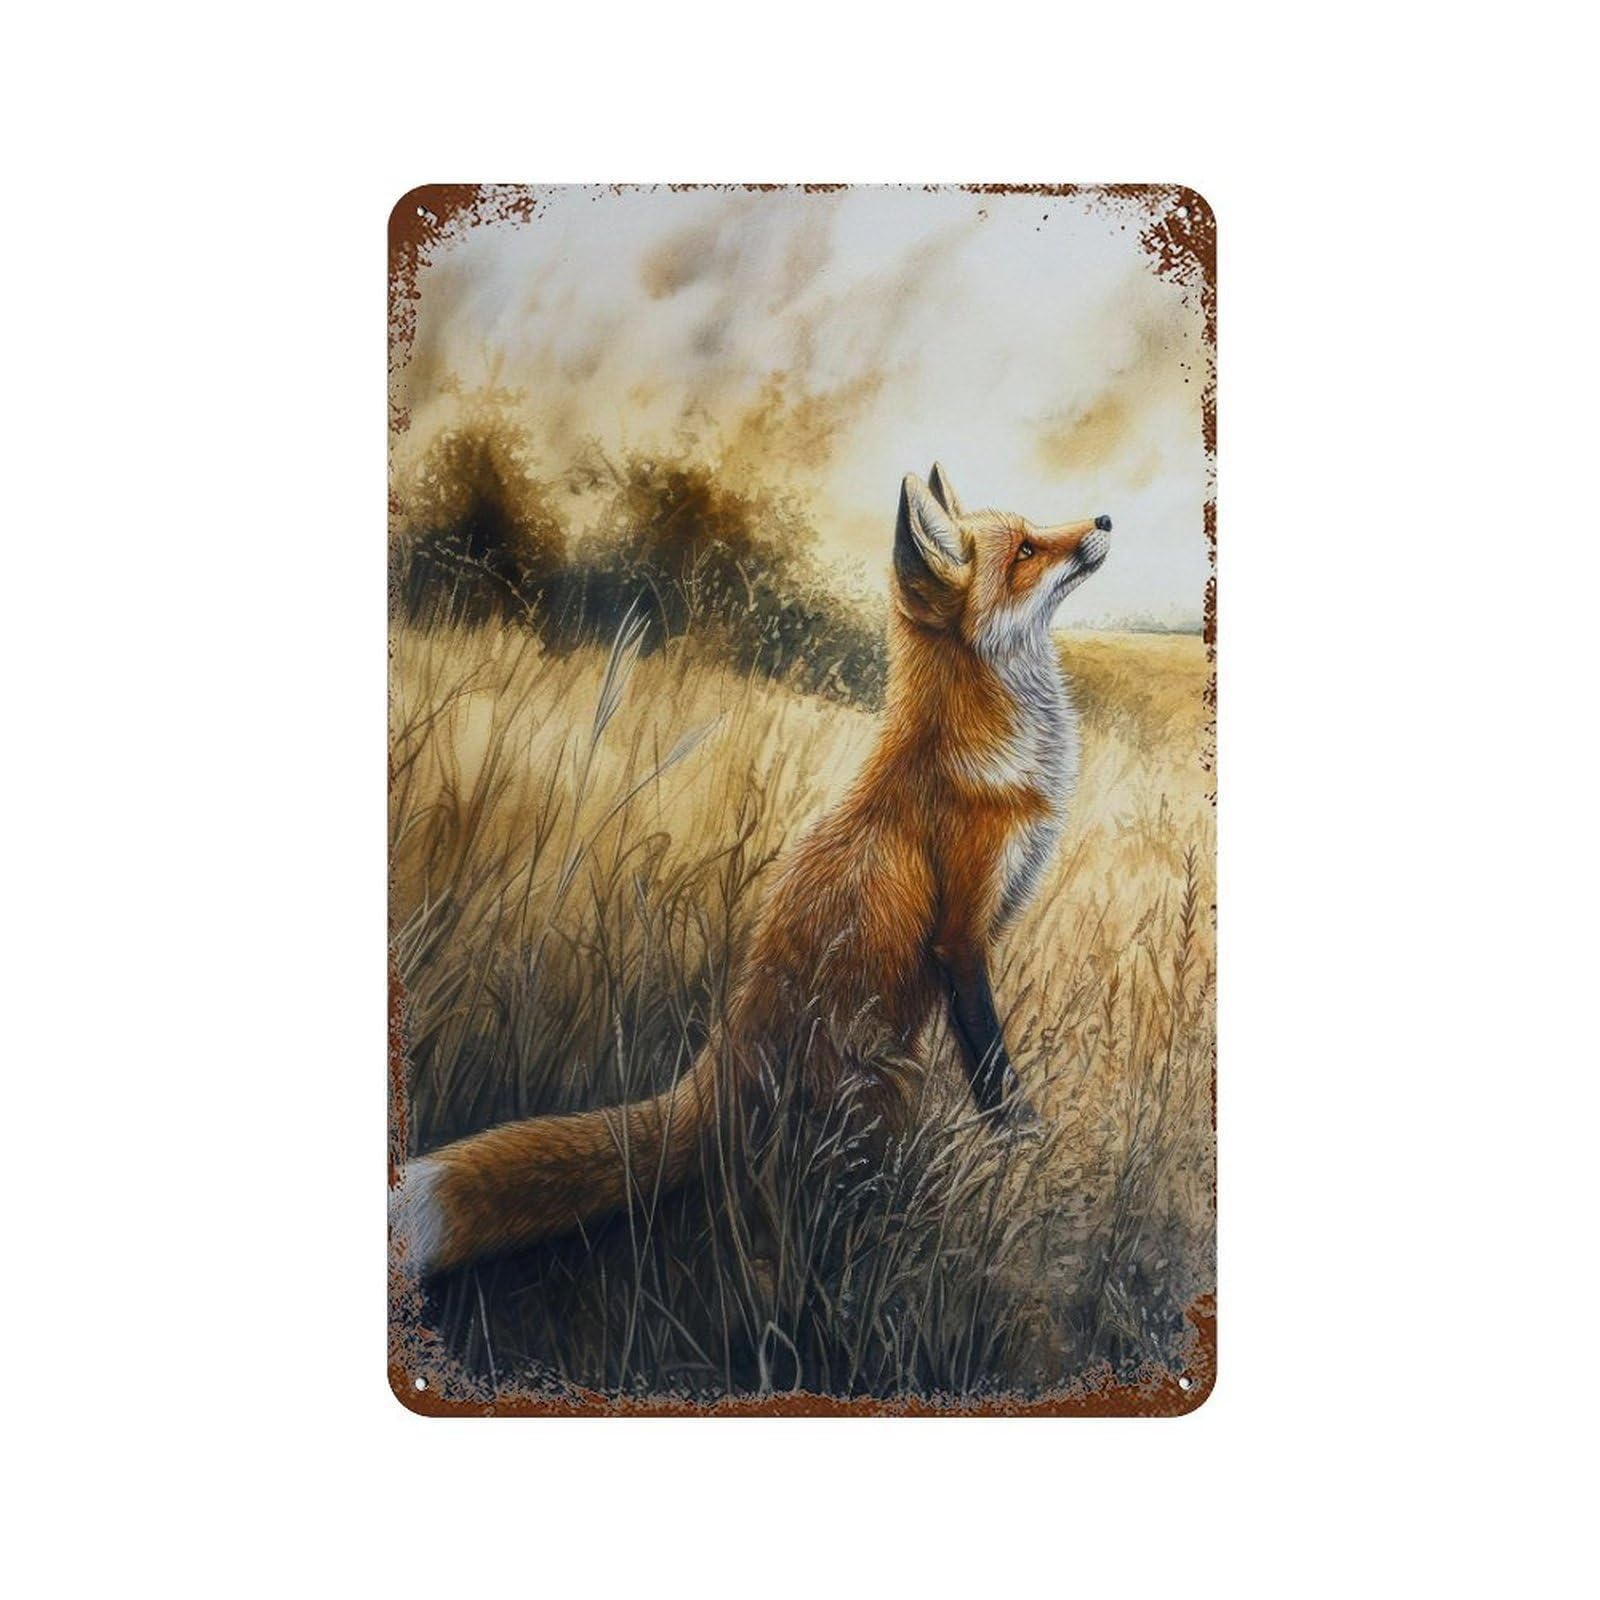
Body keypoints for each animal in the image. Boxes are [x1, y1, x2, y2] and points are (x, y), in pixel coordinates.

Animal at [392, 464, 1111, 1276]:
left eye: (1036, 532)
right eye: (1025, 551)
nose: (1105, 521)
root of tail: (721, 1059)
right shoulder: (960, 933)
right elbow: (990, 1056)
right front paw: (1021, 1135)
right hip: (884, 1086)